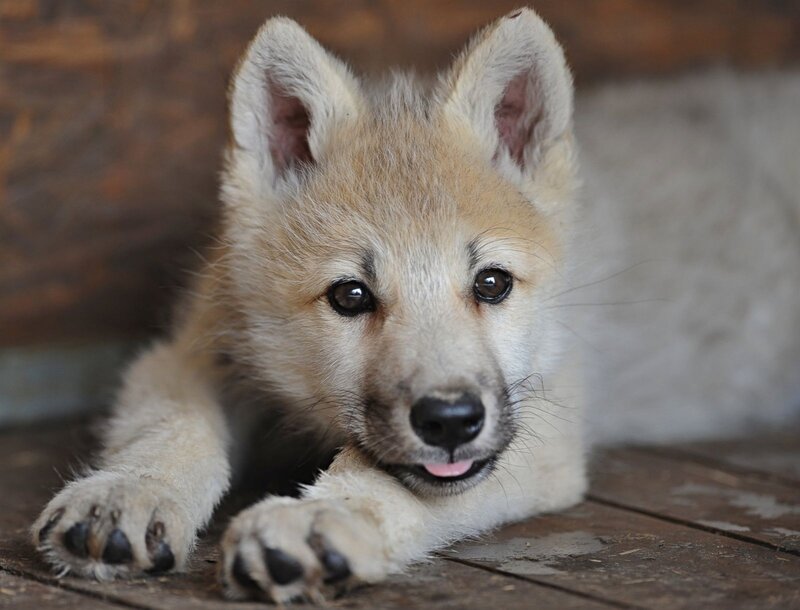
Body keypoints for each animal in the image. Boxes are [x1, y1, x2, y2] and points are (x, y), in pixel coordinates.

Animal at [31, 6, 799, 604]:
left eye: (491, 284)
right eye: (351, 296)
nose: (452, 422)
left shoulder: (545, 429)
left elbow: (373, 476)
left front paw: (318, 522)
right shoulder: (189, 352)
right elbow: (170, 428)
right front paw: (127, 493)